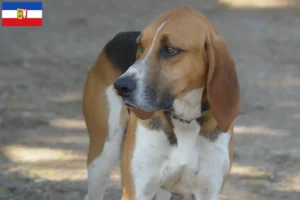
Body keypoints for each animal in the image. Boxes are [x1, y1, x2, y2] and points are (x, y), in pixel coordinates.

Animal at [83, 5, 240, 199]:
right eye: (140, 47)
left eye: (170, 49)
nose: (120, 86)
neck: (185, 120)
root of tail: (118, 36)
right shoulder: (137, 191)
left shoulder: (208, 191)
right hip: (103, 154)